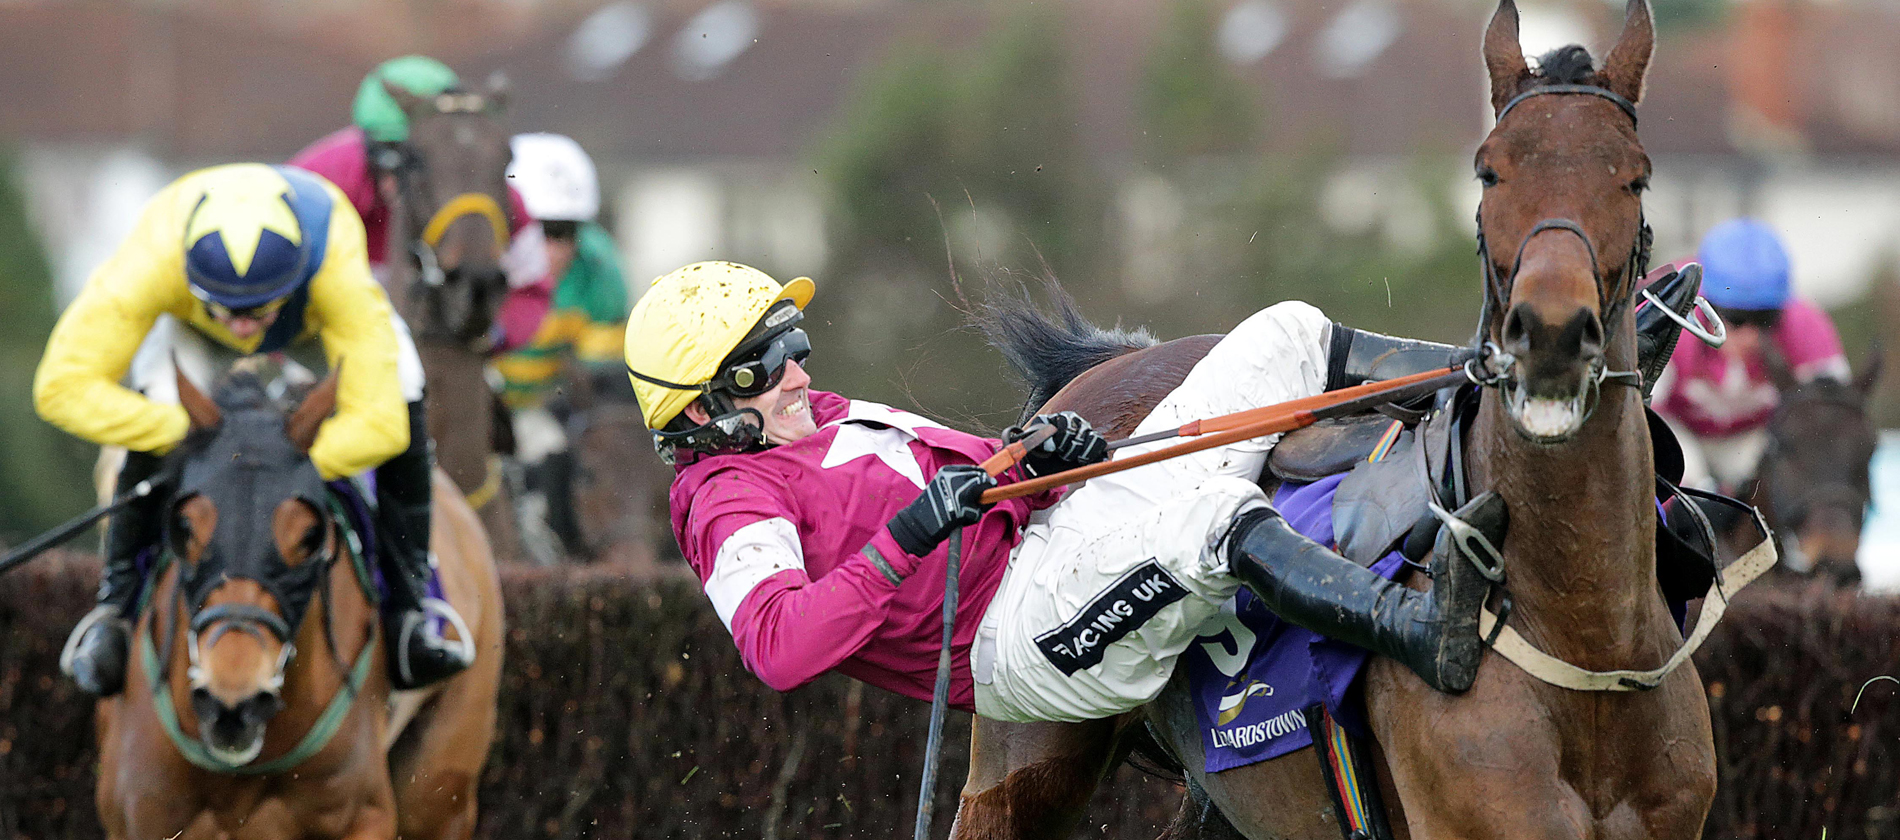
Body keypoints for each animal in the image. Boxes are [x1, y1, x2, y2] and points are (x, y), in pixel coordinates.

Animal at [94, 367, 503, 840]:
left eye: (309, 534)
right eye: (184, 526)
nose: (233, 703)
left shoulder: (365, 816)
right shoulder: (139, 819)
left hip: (443, 785)